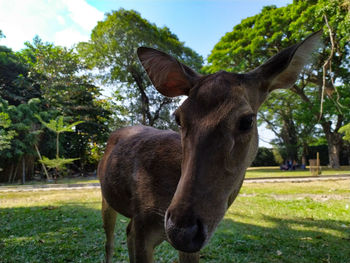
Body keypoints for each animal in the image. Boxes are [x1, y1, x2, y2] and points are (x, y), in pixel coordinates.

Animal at [97, 31, 322, 263]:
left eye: (247, 120)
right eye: (178, 118)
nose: (182, 231)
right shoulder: (143, 226)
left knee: (126, 232)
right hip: (105, 197)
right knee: (110, 241)